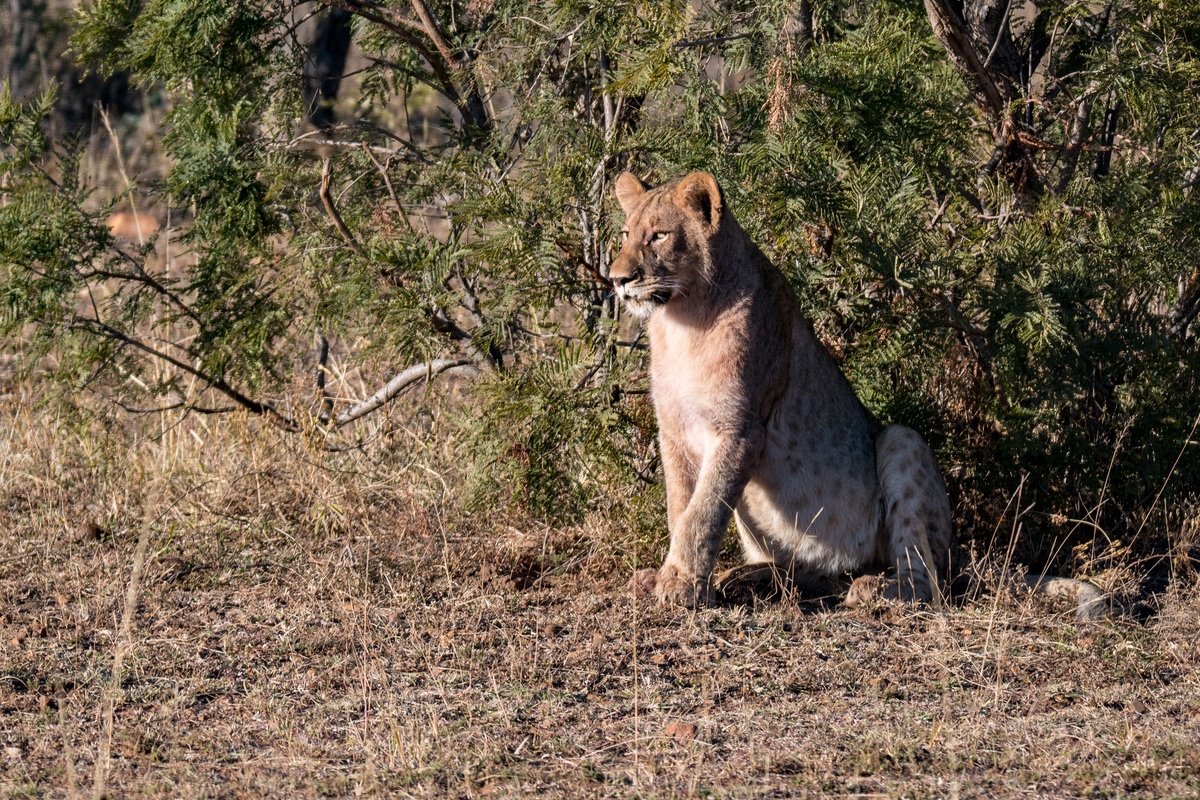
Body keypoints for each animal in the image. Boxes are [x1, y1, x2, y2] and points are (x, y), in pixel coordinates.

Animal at [610, 171, 1108, 619]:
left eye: (659, 235)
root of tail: (958, 551)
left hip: (902, 441)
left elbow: (703, 512)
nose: (617, 279)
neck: (683, 321)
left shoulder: (739, 429)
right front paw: (670, 578)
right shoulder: (674, 431)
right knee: (818, 574)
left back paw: (872, 589)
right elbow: (681, 508)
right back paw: (751, 577)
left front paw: (680, 584)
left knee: (928, 581)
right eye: (626, 234)